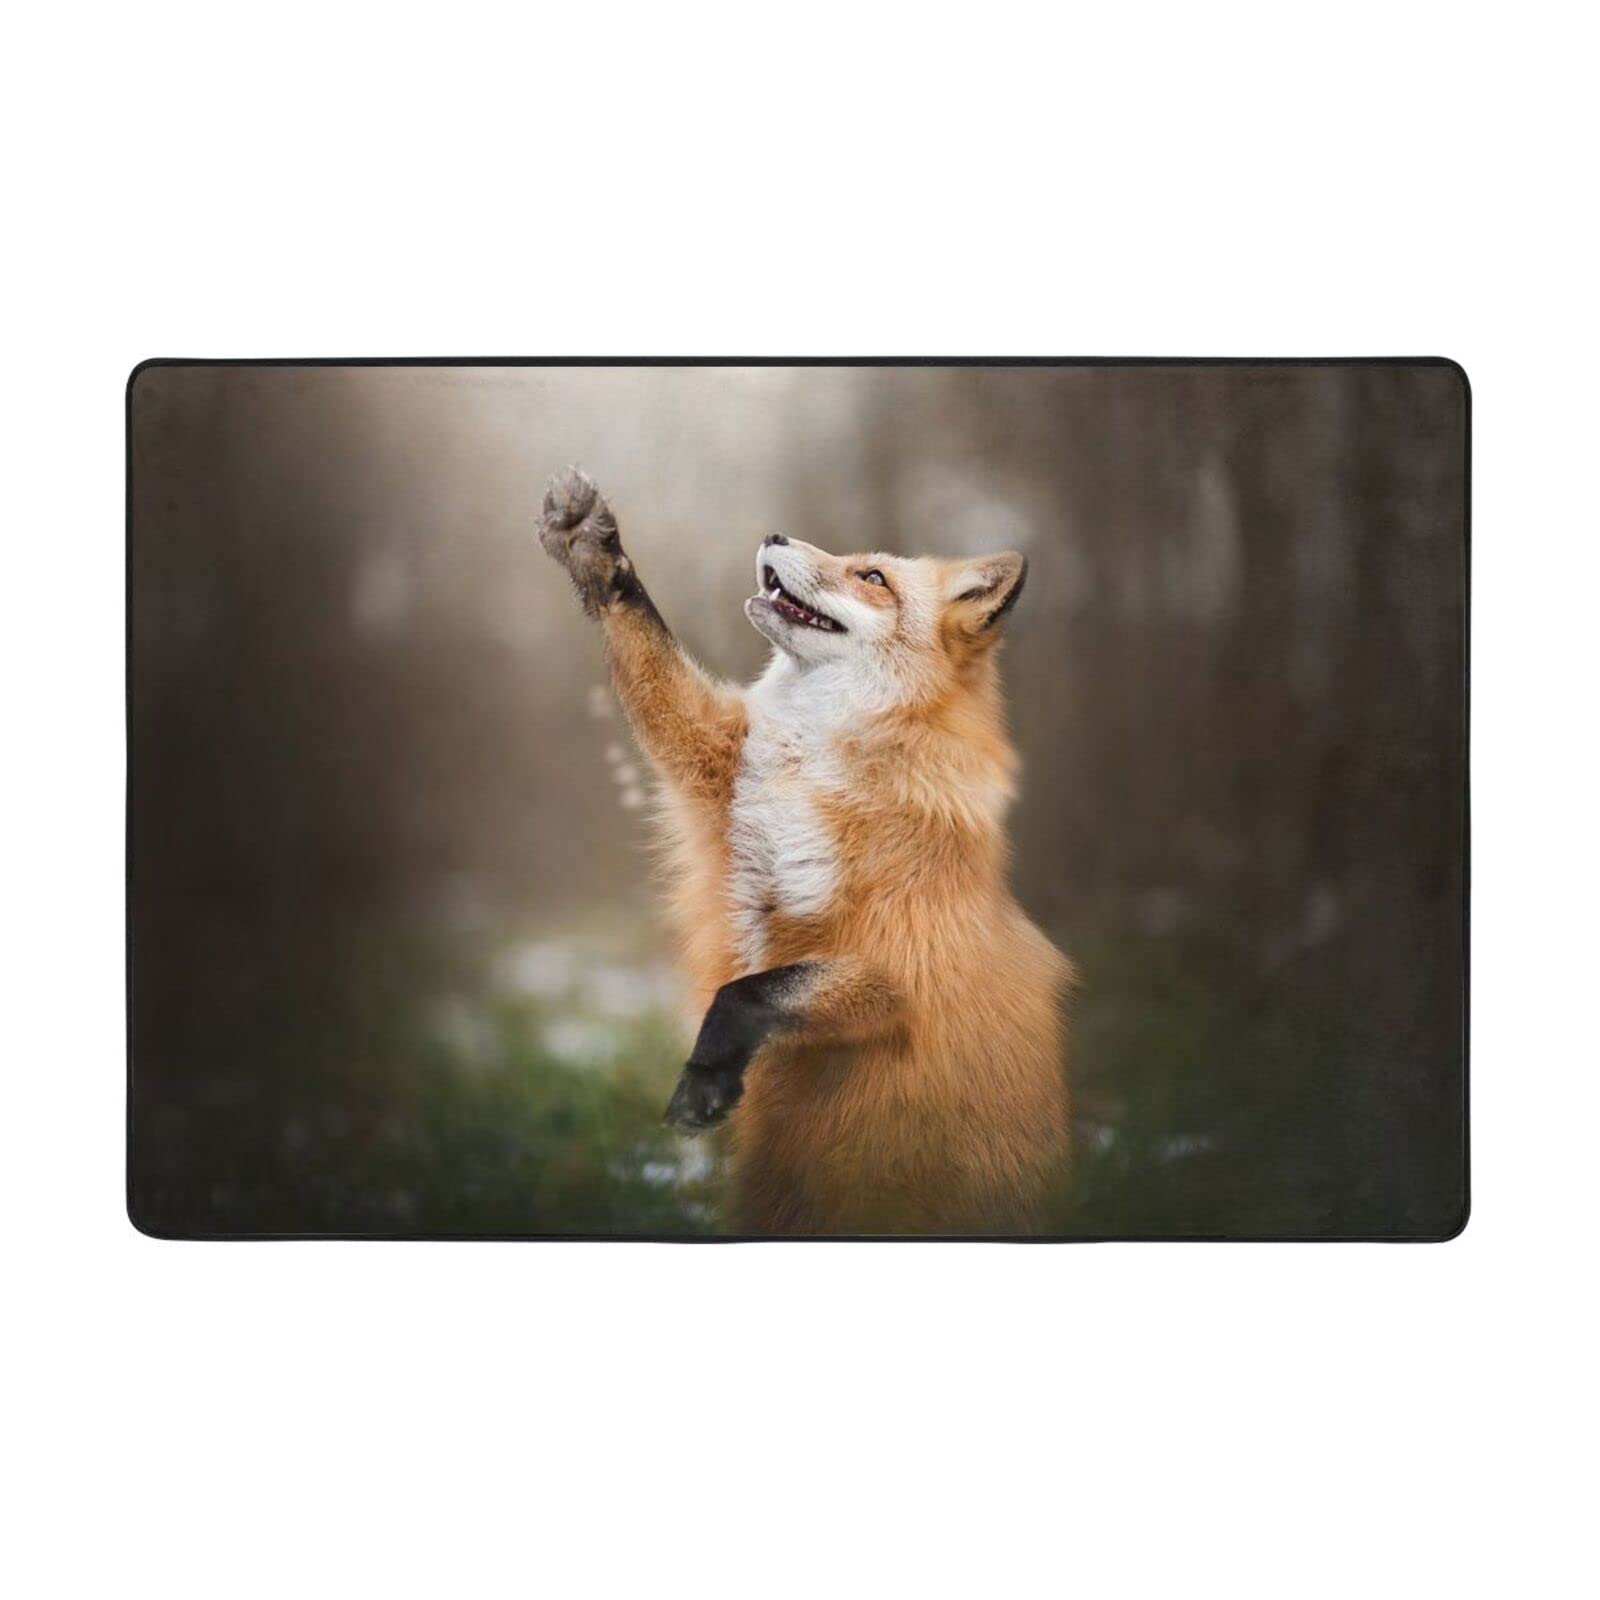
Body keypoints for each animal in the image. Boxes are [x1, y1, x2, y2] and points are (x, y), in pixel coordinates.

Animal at [538, 467, 1071, 1236]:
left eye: (872, 576)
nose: (774, 534)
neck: (810, 763)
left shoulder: (901, 963)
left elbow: (748, 991)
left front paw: (706, 1078)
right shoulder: (717, 777)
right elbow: (654, 664)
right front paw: (593, 554)